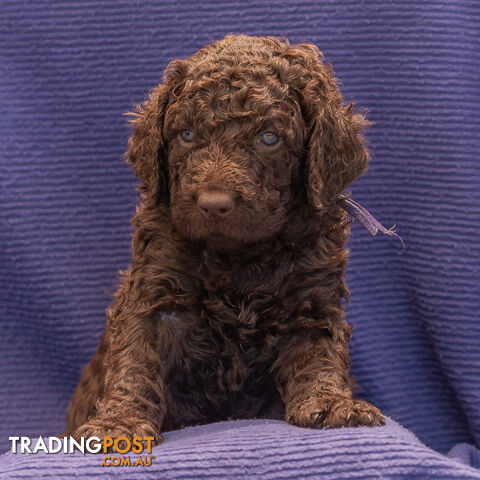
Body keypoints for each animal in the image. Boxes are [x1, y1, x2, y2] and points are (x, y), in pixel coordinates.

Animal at [65, 34, 384, 446]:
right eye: (186, 135)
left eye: (269, 138)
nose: (213, 203)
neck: (239, 260)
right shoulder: (154, 293)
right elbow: (135, 359)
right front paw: (118, 423)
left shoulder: (311, 300)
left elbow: (318, 354)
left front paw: (332, 403)